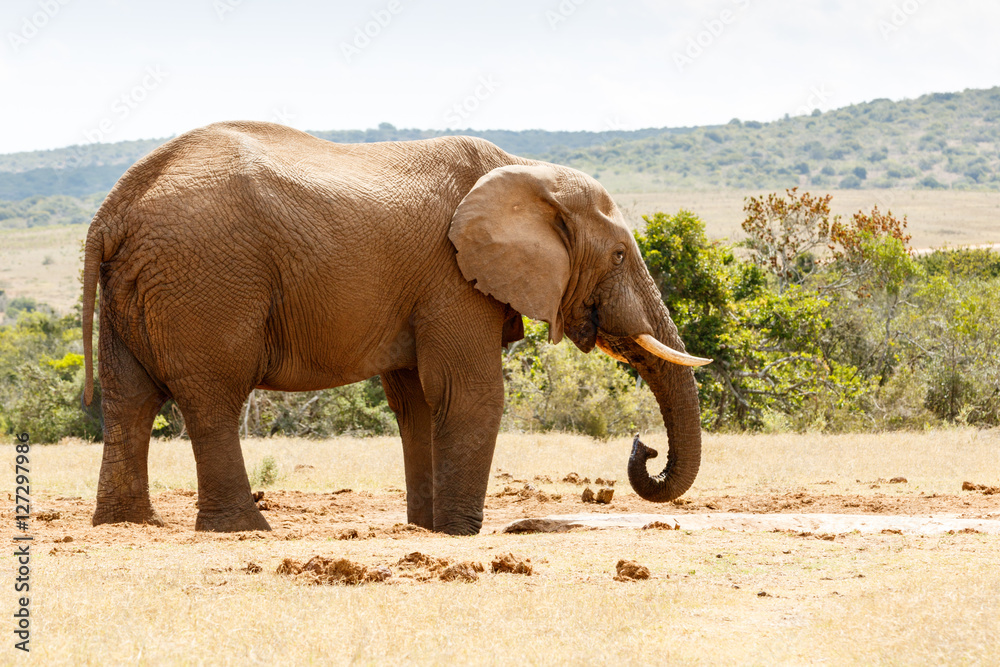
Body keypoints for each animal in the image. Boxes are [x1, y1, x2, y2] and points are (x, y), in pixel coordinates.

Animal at [81, 121, 710, 535]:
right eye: (621, 256)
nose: (644, 446)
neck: (527, 170)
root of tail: (112, 210)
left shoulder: (426, 288)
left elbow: (420, 403)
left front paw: (427, 530)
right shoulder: (452, 277)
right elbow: (469, 393)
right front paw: (459, 534)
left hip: (136, 286)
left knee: (128, 398)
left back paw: (126, 524)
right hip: (208, 280)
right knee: (213, 397)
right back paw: (242, 529)